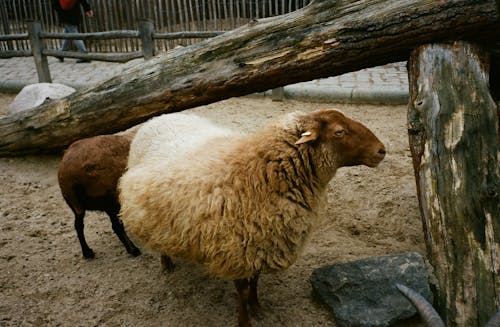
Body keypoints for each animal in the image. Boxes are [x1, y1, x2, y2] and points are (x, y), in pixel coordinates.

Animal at [118, 110, 386, 327]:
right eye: (339, 131)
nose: (382, 150)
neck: (261, 172)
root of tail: (159, 118)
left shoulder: (261, 243)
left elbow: (255, 282)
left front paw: (258, 308)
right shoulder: (236, 249)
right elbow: (243, 291)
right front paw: (245, 320)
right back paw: (166, 263)